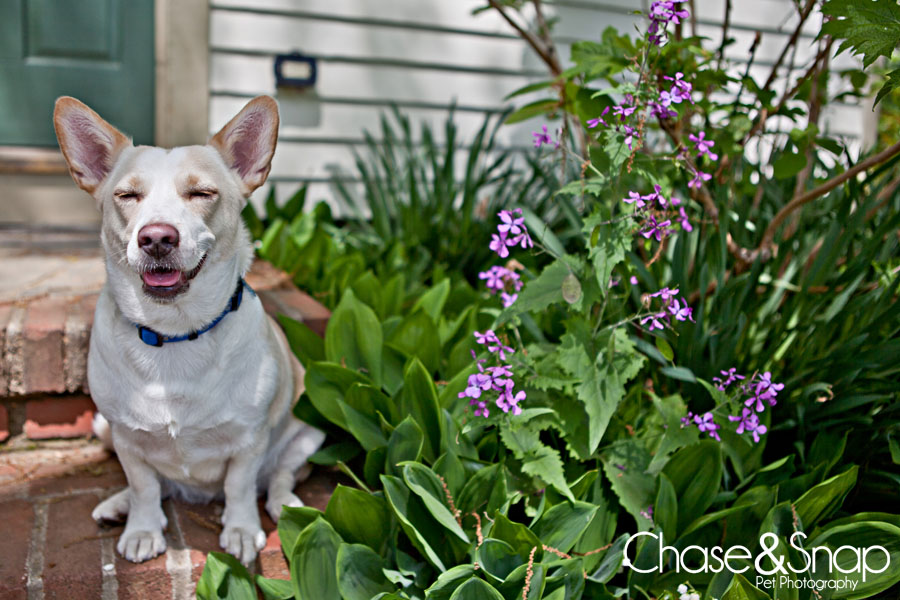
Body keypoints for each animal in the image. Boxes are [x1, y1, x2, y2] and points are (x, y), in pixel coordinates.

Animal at [54, 96, 326, 564]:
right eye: (127, 195)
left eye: (201, 193)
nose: (156, 238)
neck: (174, 333)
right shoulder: (126, 440)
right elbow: (144, 486)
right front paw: (142, 528)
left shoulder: (250, 442)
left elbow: (239, 487)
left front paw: (241, 529)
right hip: (104, 428)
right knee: (155, 487)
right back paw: (118, 506)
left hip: (310, 432)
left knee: (281, 476)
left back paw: (284, 503)